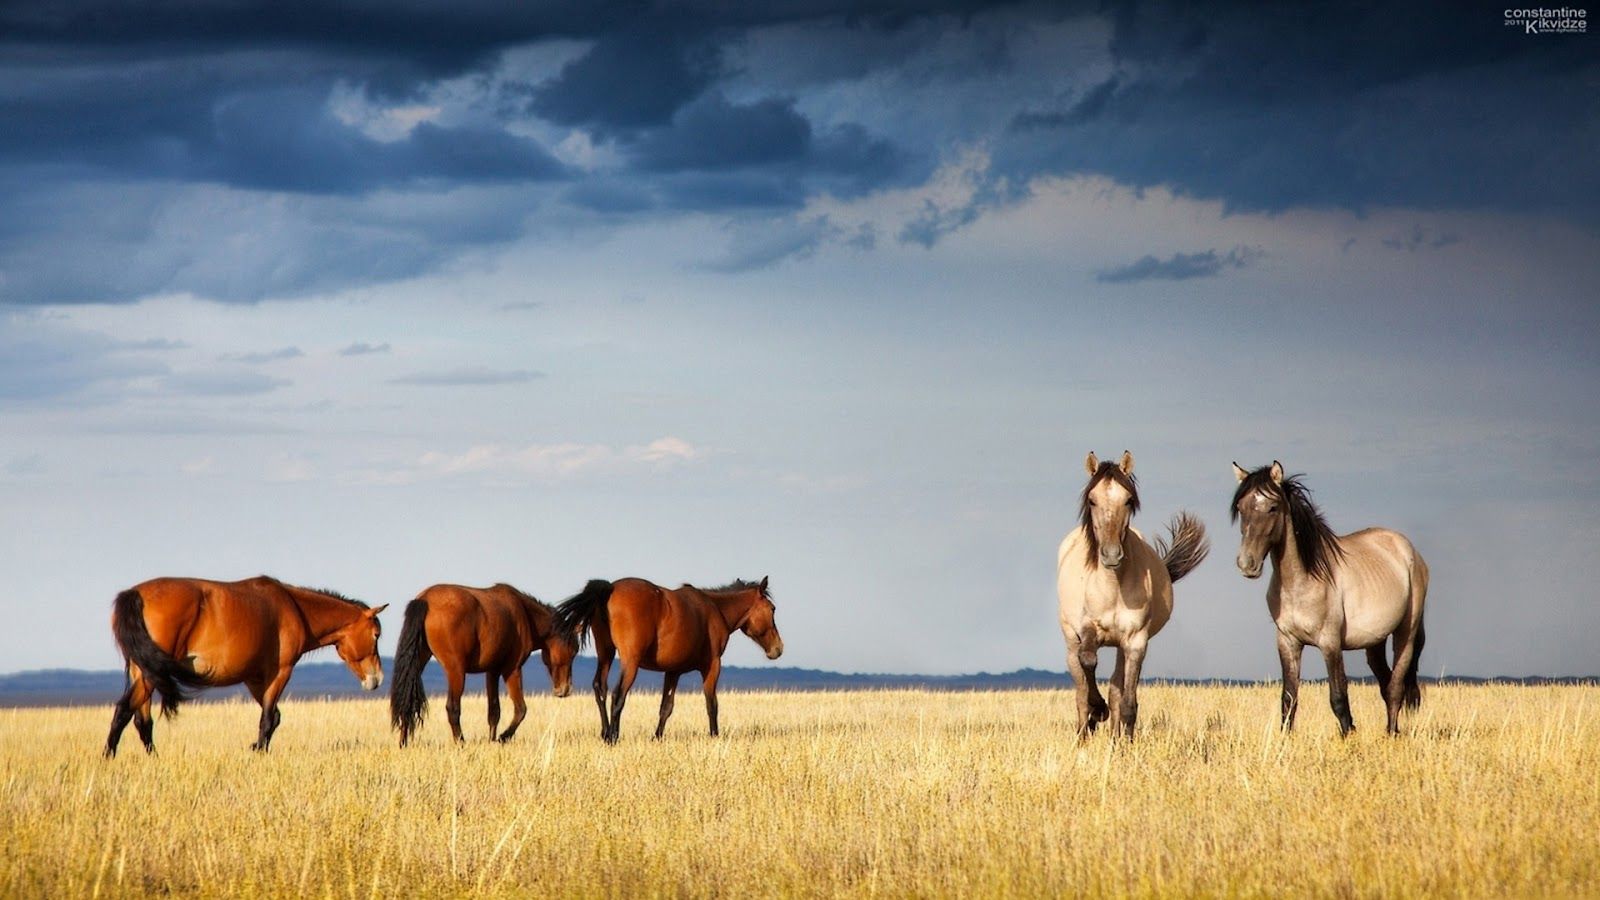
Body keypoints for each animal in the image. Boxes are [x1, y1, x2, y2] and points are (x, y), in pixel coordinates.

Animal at [104, 576, 386, 755]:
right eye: (376, 635)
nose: (377, 679)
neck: (294, 608)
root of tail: (136, 594)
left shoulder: (254, 678)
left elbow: (274, 716)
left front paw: (256, 748)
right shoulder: (280, 672)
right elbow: (269, 718)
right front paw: (260, 752)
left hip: (143, 670)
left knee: (142, 720)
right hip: (150, 674)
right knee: (124, 710)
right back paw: (108, 757)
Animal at [388, 582, 578, 746]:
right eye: (574, 650)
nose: (565, 690)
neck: (524, 614)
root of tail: (425, 599)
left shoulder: (492, 672)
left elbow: (494, 711)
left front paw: (491, 740)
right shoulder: (512, 669)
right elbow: (520, 709)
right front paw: (503, 737)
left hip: (418, 663)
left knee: (407, 701)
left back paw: (403, 743)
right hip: (456, 671)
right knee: (453, 708)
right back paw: (461, 742)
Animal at [553, 576, 783, 743]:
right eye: (772, 609)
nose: (778, 649)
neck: (715, 609)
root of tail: (610, 588)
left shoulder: (673, 671)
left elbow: (666, 707)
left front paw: (657, 737)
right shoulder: (712, 666)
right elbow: (712, 704)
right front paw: (714, 736)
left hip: (606, 653)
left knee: (600, 688)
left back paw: (605, 733)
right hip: (629, 662)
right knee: (618, 695)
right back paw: (613, 737)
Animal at [1057, 451, 1210, 740]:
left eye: (1128, 500)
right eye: (1092, 500)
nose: (1111, 555)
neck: (1111, 586)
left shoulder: (1135, 641)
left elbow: (1127, 702)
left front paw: (1124, 742)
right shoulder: (1087, 629)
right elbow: (1089, 662)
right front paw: (1098, 711)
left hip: (1120, 647)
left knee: (1116, 688)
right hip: (1071, 640)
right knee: (1081, 690)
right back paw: (1085, 730)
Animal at [1231, 461, 1429, 736]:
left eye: (1272, 507)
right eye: (1241, 508)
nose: (1246, 564)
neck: (1302, 580)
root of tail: (1409, 550)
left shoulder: (1330, 643)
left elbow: (1338, 698)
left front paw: (1349, 737)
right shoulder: (1288, 642)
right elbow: (1288, 699)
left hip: (1405, 633)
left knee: (1396, 687)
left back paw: (1391, 734)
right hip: (1374, 642)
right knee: (1386, 683)